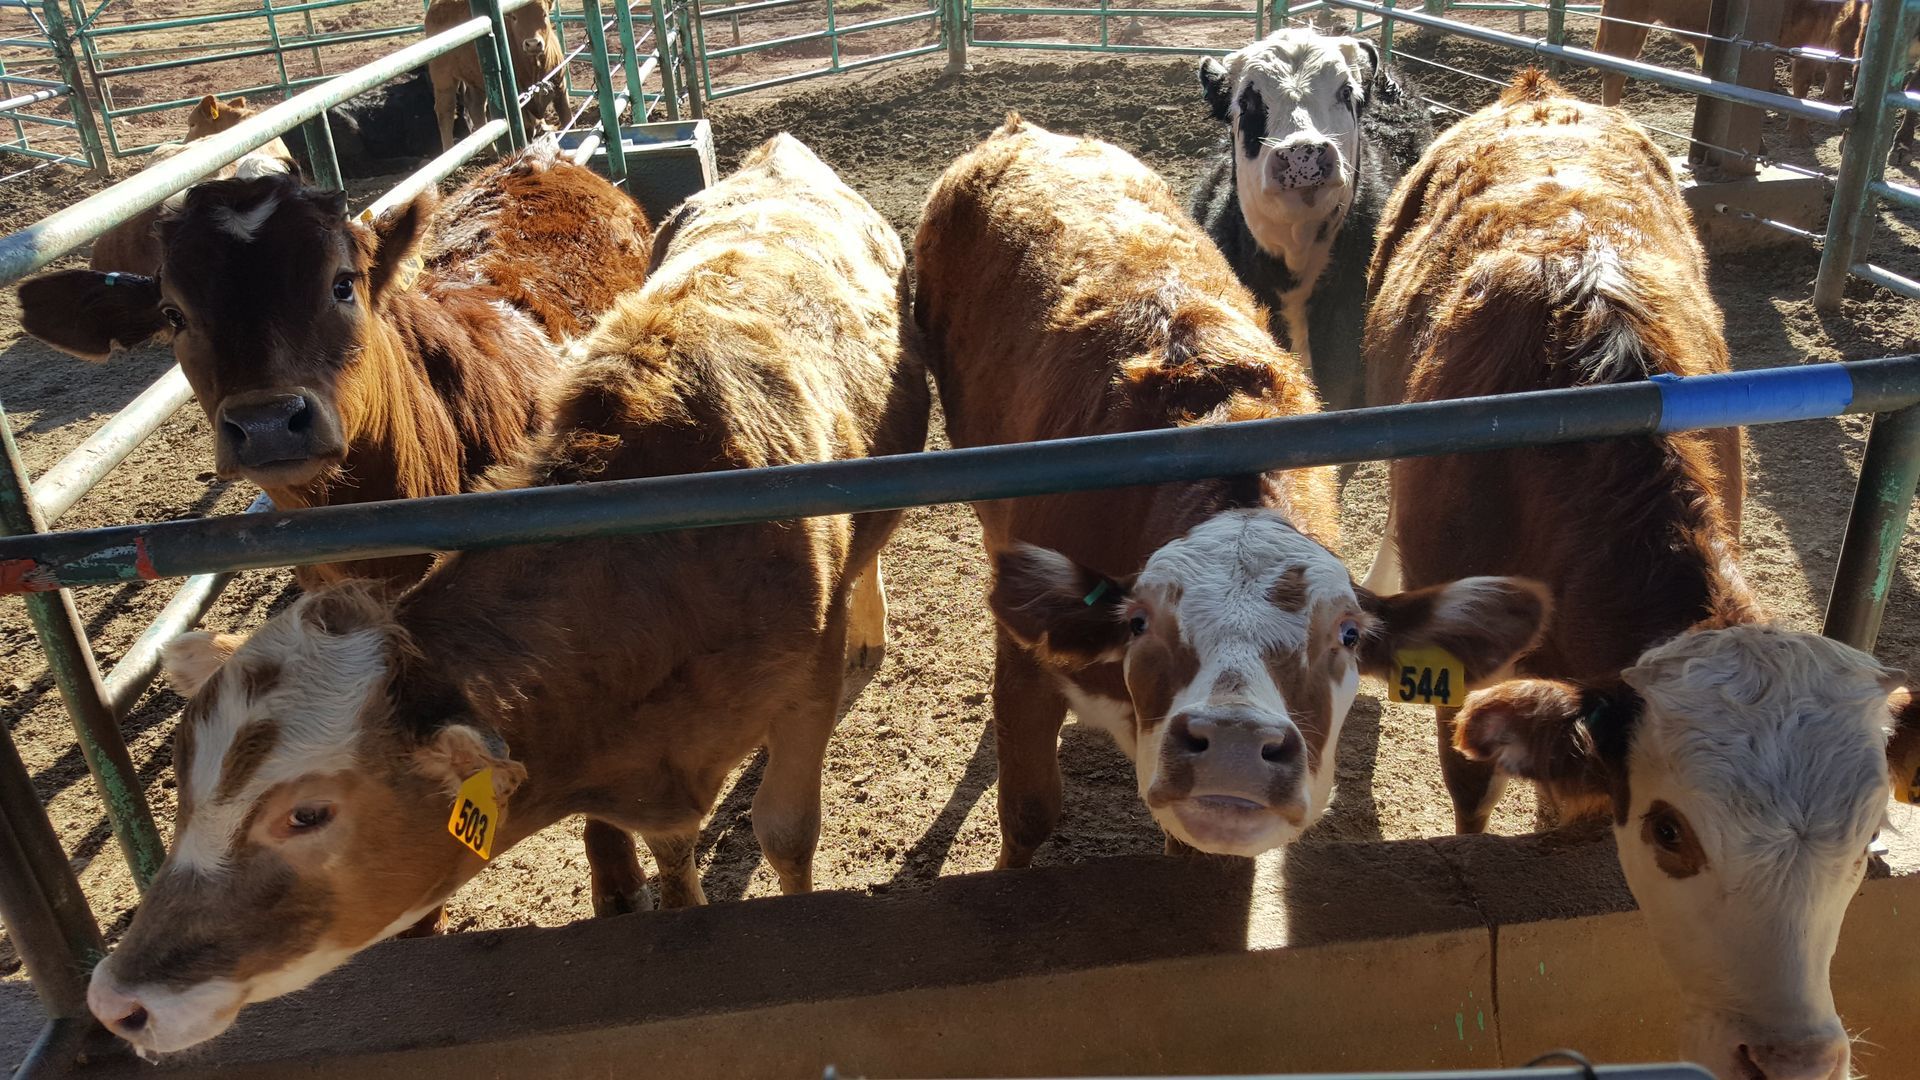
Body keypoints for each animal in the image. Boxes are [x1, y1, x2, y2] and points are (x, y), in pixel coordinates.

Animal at [424, 0, 565, 153]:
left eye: (544, 14)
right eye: (514, 17)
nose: (533, 44)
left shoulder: (560, 87)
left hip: (478, 81)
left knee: (475, 106)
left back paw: (492, 151)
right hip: (443, 77)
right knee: (446, 110)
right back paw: (450, 150)